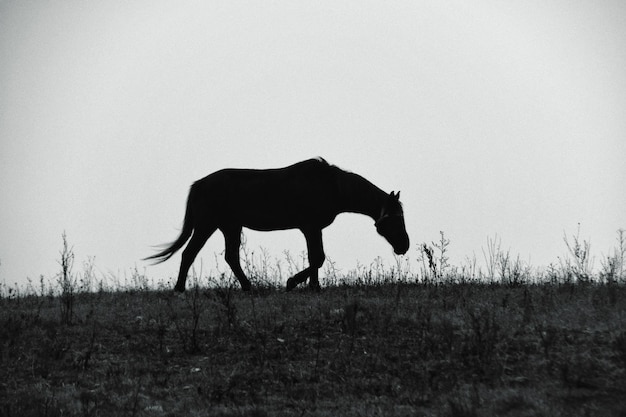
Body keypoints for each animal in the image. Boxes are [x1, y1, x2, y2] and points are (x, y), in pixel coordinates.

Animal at [146, 158, 410, 290]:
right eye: (397, 218)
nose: (404, 246)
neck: (332, 186)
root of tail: (198, 184)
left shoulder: (314, 229)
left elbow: (316, 258)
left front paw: (312, 287)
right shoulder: (310, 227)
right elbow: (317, 258)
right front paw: (294, 283)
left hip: (230, 227)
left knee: (231, 257)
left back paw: (248, 287)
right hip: (206, 225)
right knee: (189, 253)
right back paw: (180, 289)